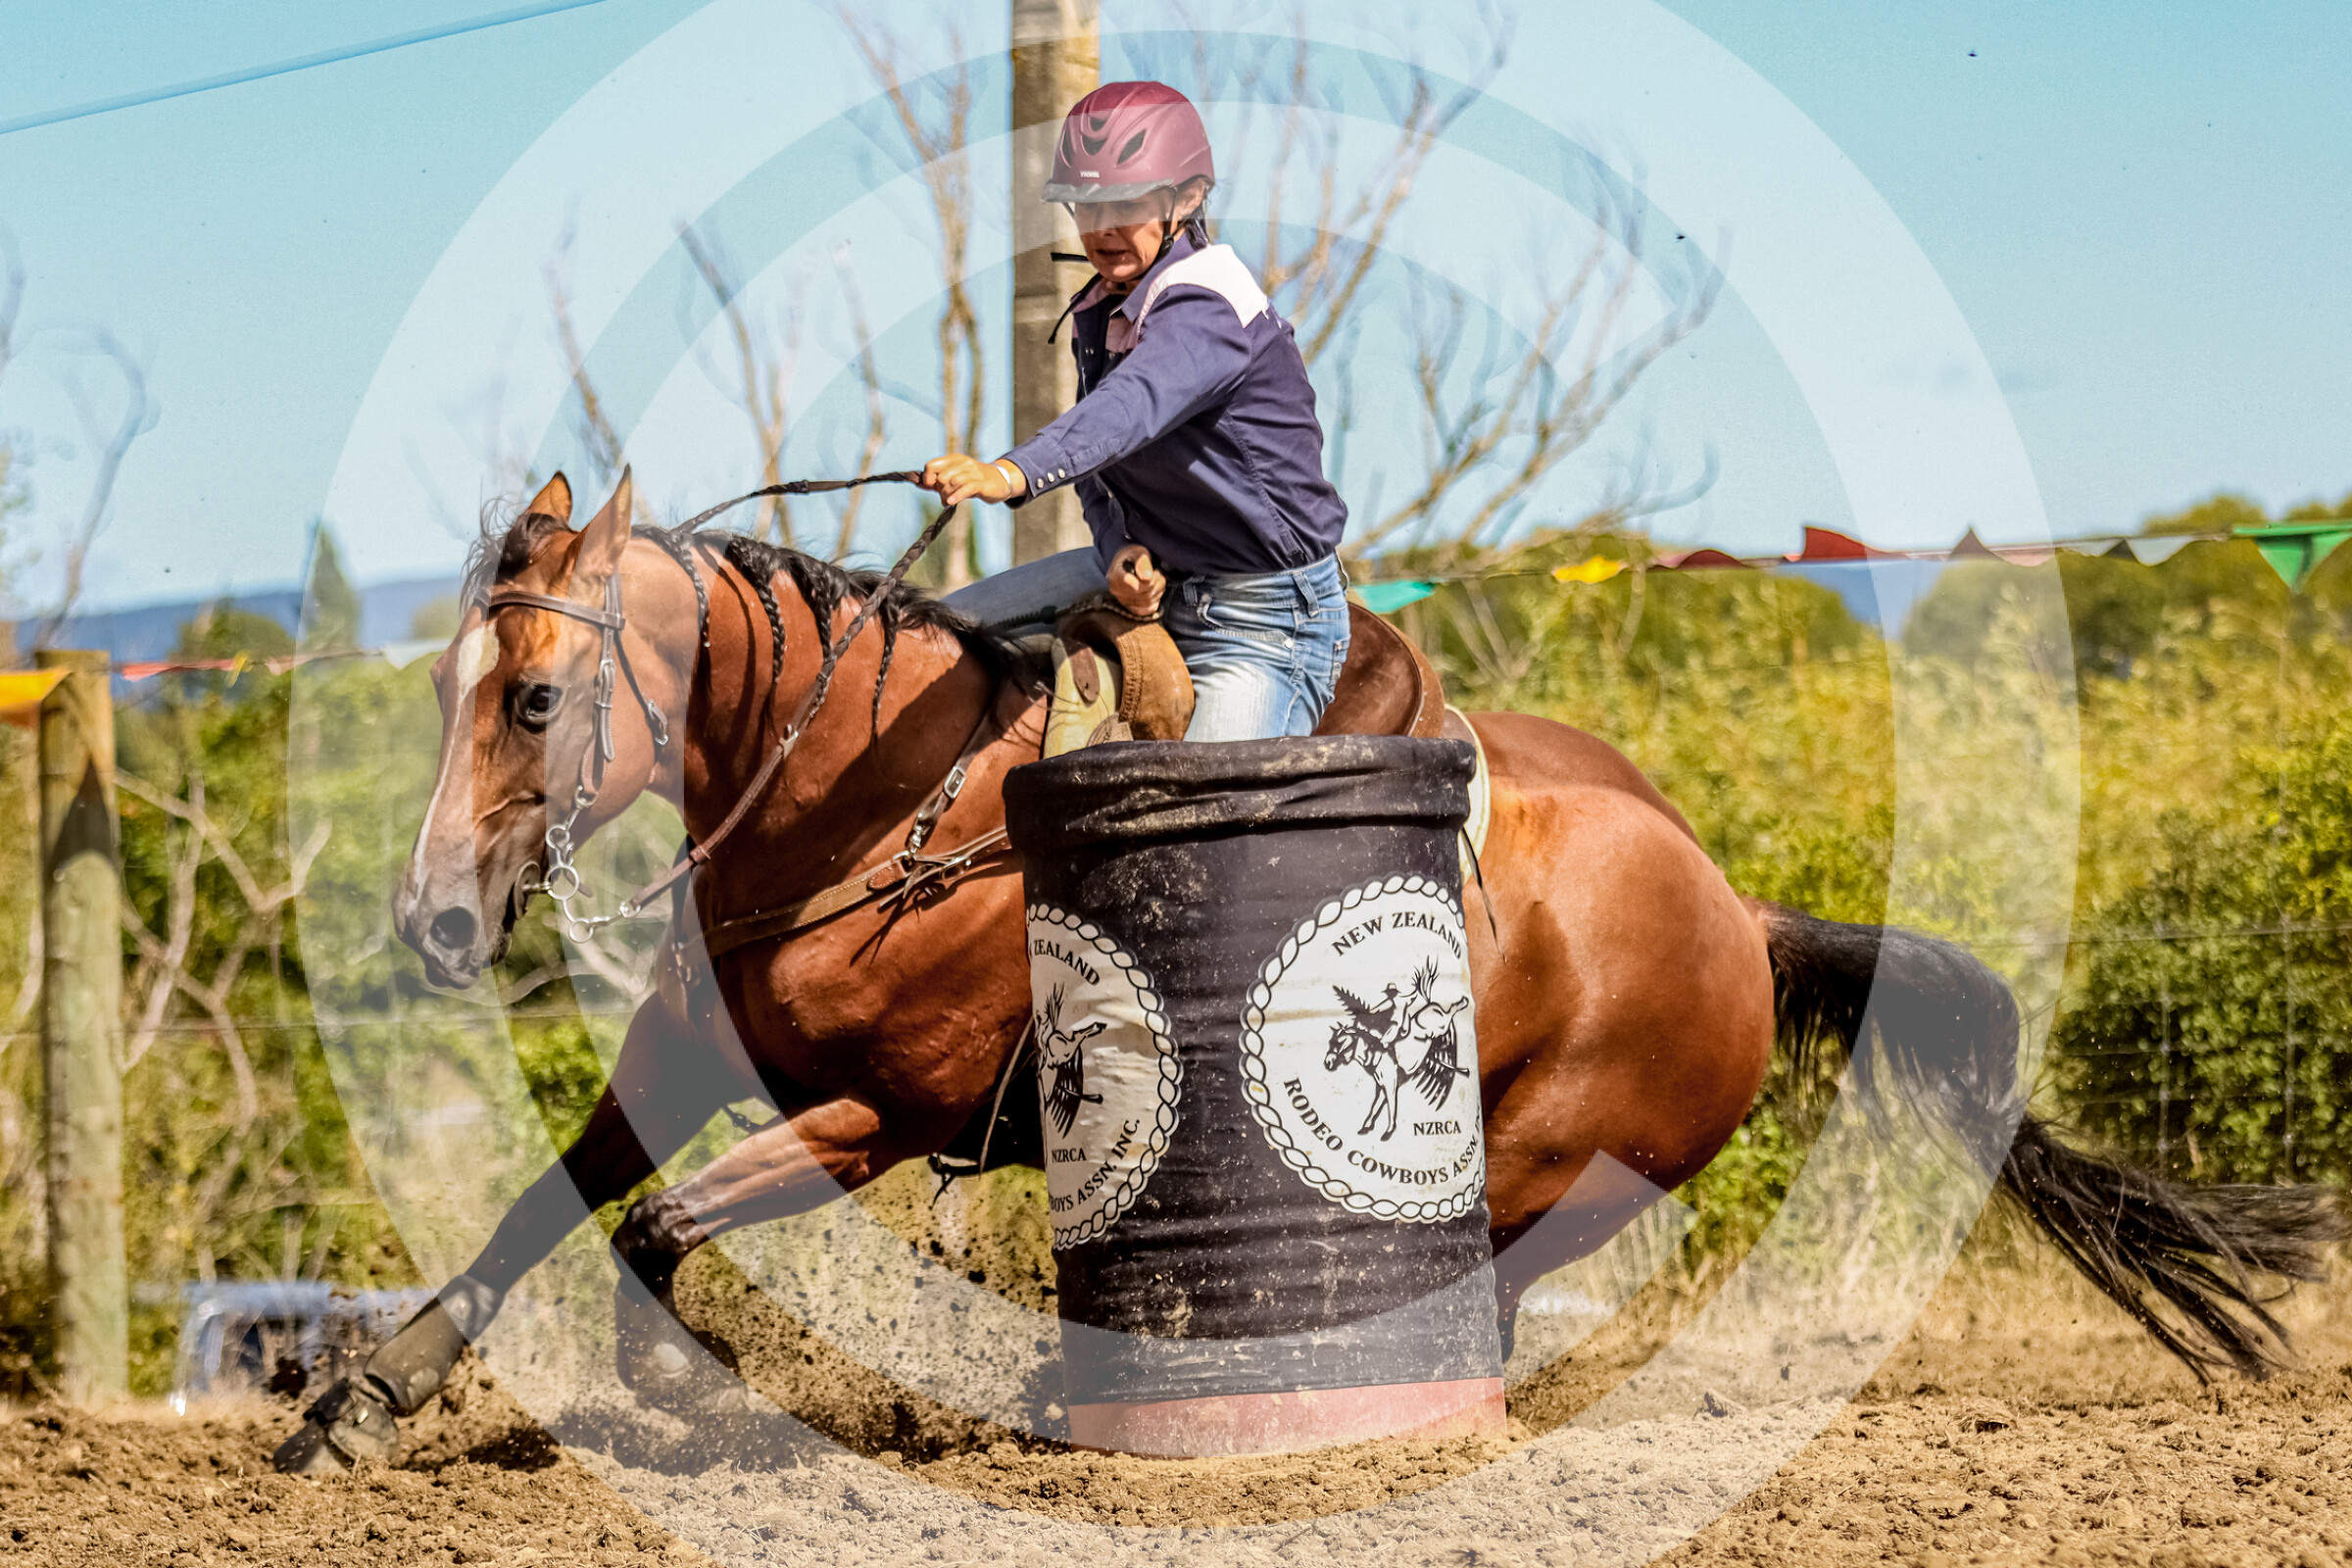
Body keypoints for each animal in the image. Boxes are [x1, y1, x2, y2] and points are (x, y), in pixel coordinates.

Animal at [277, 469, 2342, 1471]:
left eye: (533, 699)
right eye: (452, 683)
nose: (433, 921)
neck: (866, 810)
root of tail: (1741, 922)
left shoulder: (887, 1113)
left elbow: (659, 1233)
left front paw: (716, 1395)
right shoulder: (686, 1063)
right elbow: (558, 1205)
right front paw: (366, 1398)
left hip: (1550, 1164)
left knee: (1461, 1296)